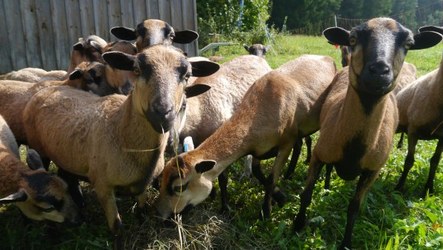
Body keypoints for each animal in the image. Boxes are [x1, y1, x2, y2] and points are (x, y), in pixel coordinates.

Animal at [20, 45, 219, 250]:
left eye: (187, 75)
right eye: (137, 70)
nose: (163, 114)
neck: (122, 131)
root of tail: (47, 89)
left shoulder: (142, 183)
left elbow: (141, 208)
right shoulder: (103, 186)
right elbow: (117, 226)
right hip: (39, 149)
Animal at [155, 53, 336, 220]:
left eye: (179, 187)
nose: (159, 214)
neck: (255, 114)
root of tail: (326, 57)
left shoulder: (286, 143)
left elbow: (270, 179)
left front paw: (266, 212)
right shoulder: (259, 148)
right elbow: (258, 172)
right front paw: (279, 197)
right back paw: (289, 174)